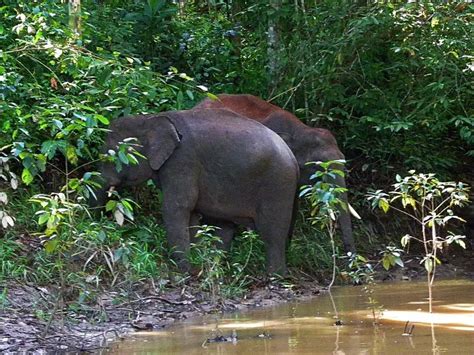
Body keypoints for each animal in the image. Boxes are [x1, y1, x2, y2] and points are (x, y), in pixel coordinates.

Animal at [93, 108, 300, 276]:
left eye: (115, 154)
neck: (150, 117)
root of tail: (293, 159)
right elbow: (191, 214)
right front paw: (195, 264)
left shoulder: (183, 160)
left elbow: (178, 207)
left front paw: (183, 271)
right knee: (223, 227)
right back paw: (215, 270)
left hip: (278, 184)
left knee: (272, 234)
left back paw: (274, 278)